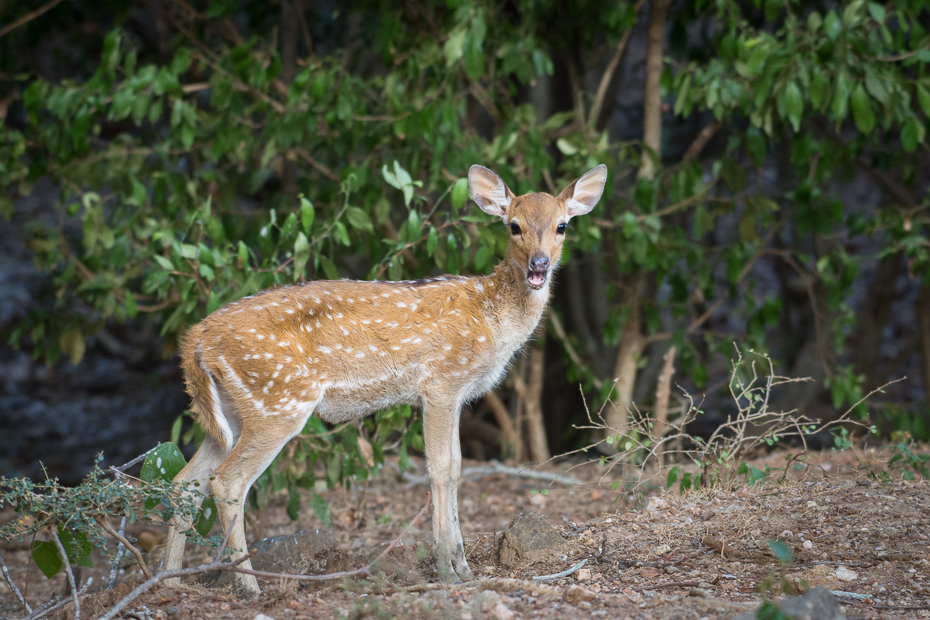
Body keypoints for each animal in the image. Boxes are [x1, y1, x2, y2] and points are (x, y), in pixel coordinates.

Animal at [161, 162, 608, 592]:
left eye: (562, 225)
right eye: (514, 225)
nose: (539, 264)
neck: (492, 321)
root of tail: (196, 341)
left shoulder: (457, 394)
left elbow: (458, 467)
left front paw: (465, 569)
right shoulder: (441, 382)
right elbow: (440, 469)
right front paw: (447, 572)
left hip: (235, 413)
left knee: (184, 482)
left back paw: (169, 581)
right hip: (278, 401)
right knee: (227, 483)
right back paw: (249, 587)